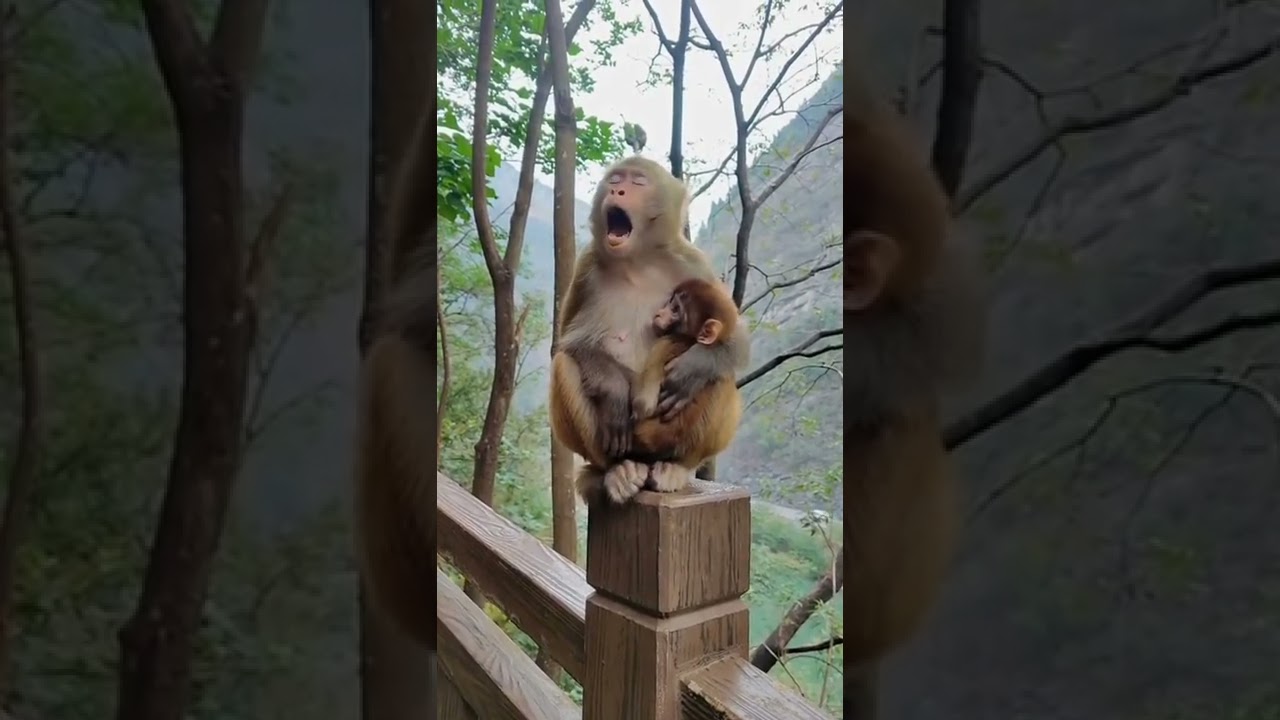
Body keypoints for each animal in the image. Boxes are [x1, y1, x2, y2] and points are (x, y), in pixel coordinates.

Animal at [627, 278, 744, 490]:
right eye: (670, 303)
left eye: (675, 309)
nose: (660, 313)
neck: (690, 339)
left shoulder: (667, 342)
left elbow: (644, 405)